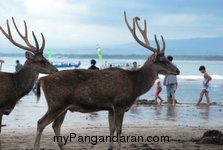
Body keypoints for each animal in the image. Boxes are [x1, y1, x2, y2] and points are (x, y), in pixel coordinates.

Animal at [33, 11, 179, 150]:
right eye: (162, 60)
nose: (177, 70)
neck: (135, 85)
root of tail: (42, 80)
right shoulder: (120, 104)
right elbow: (119, 129)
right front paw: (119, 148)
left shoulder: (110, 107)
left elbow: (112, 128)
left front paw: (110, 147)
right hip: (57, 103)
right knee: (41, 122)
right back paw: (37, 146)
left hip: (63, 106)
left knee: (55, 125)